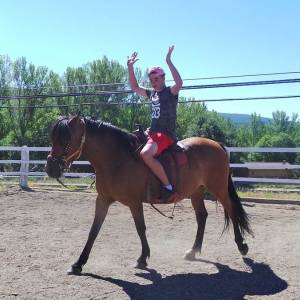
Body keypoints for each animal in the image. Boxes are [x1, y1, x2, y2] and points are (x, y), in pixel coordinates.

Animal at [45, 115, 252, 274]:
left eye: (65, 139)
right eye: (53, 138)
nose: (50, 168)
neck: (118, 159)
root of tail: (216, 144)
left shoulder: (134, 202)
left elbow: (140, 228)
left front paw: (142, 258)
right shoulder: (102, 200)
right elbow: (93, 231)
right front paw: (78, 263)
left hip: (218, 189)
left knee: (231, 210)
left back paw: (242, 246)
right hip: (196, 192)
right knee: (202, 217)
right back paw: (193, 251)